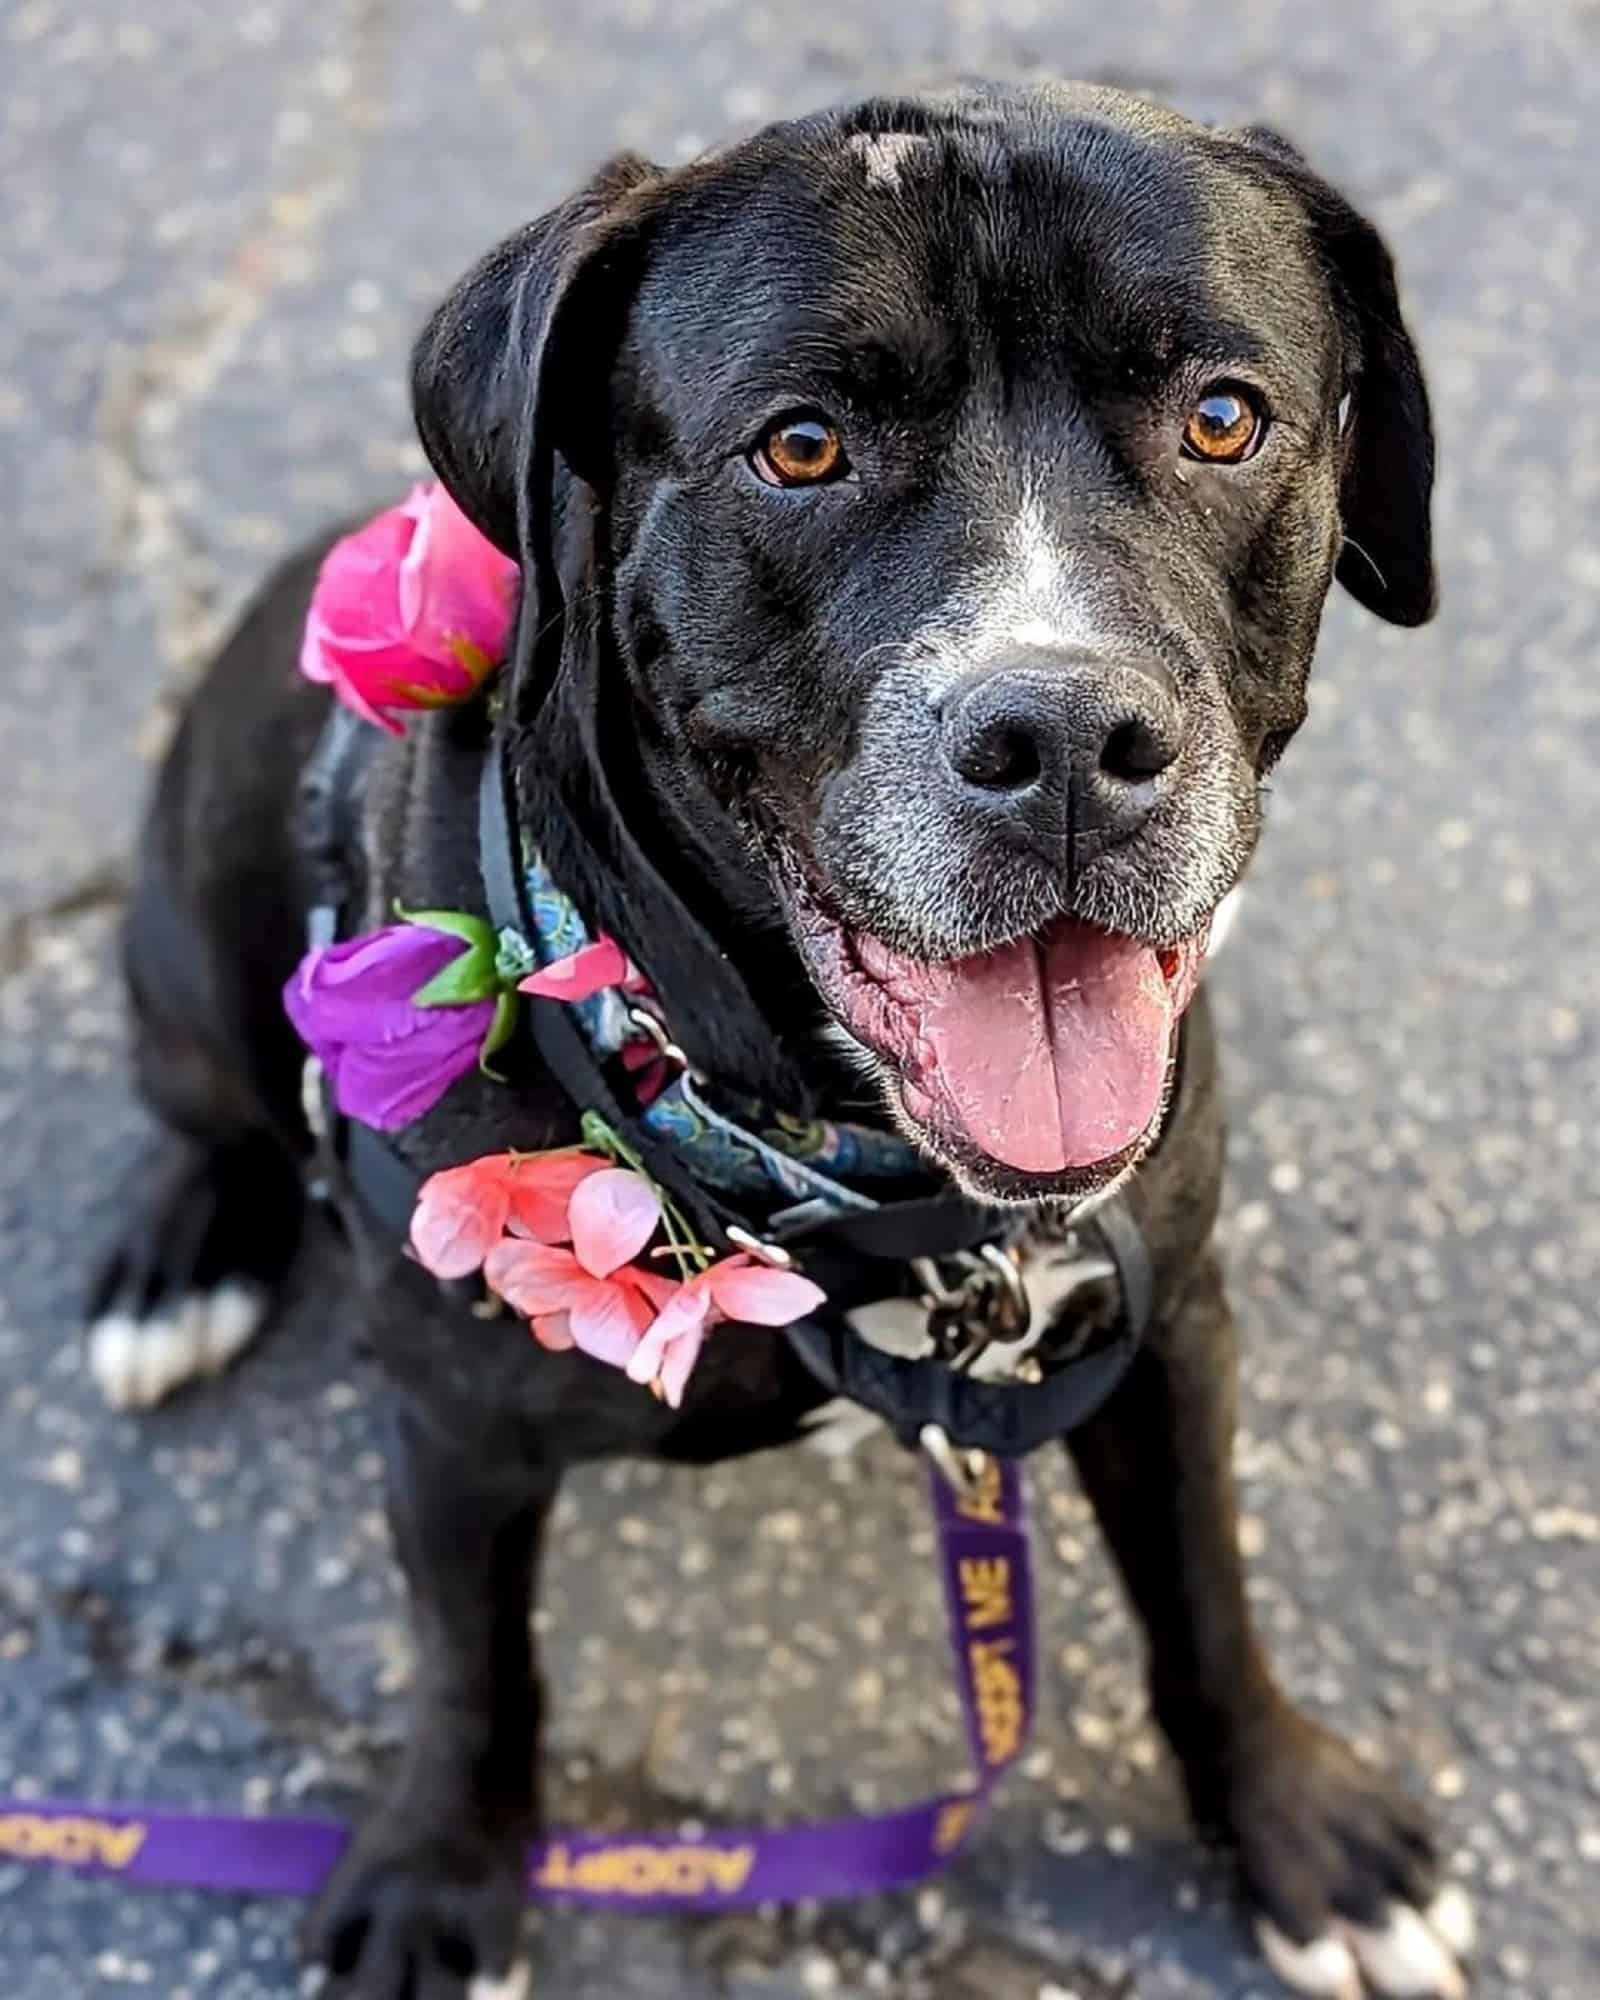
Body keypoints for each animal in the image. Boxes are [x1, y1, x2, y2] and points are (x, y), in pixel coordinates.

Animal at [87, 82, 1472, 2000]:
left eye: (1222, 417)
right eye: (801, 448)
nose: (1063, 739)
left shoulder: (1168, 1319)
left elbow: (1207, 1590)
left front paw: (1301, 1831)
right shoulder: (450, 1428)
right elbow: (472, 1666)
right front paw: (439, 1875)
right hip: (181, 946)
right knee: (198, 1102)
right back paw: (174, 1261)